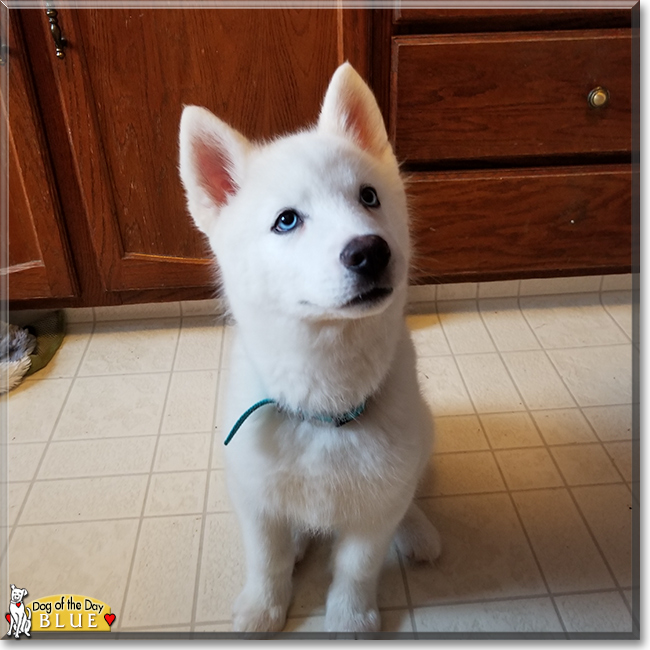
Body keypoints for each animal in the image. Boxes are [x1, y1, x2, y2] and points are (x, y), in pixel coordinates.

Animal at [177, 63, 440, 632]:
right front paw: (264, 606)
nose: (371, 253)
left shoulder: (373, 512)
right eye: (287, 220)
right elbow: (267, 557)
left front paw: (350, 618)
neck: (323, 410)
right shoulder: (253, 497)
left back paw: (416, 528)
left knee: (408, 493)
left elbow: (358, 566)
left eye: (369, 197)